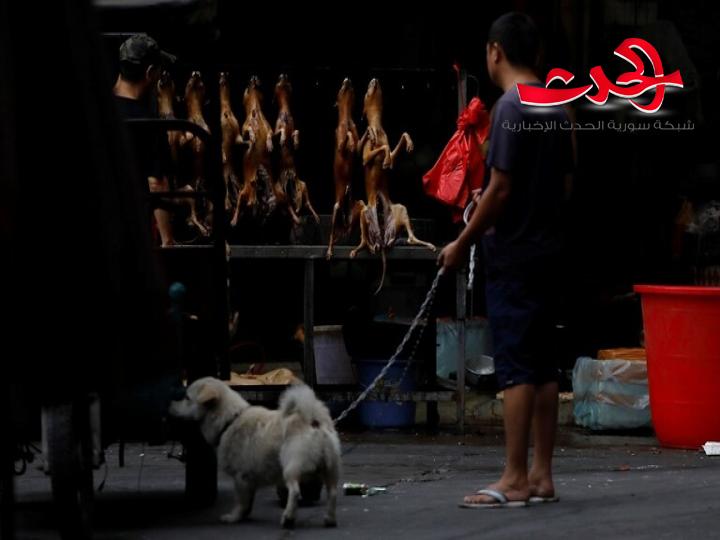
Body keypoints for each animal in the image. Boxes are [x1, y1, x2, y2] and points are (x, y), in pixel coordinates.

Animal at [169, 380, 340, 528]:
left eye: (186, 398)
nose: (170, 404)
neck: (229, 420)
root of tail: (312, 420)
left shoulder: (241, 478)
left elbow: (240, 501)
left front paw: (234, 517)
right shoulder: (249, 480)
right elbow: (248, 502)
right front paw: (244, 515)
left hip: (291, 468)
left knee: (295, 492)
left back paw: (288, 518)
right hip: (330, 470)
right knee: (332, 493)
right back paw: (330, 519)